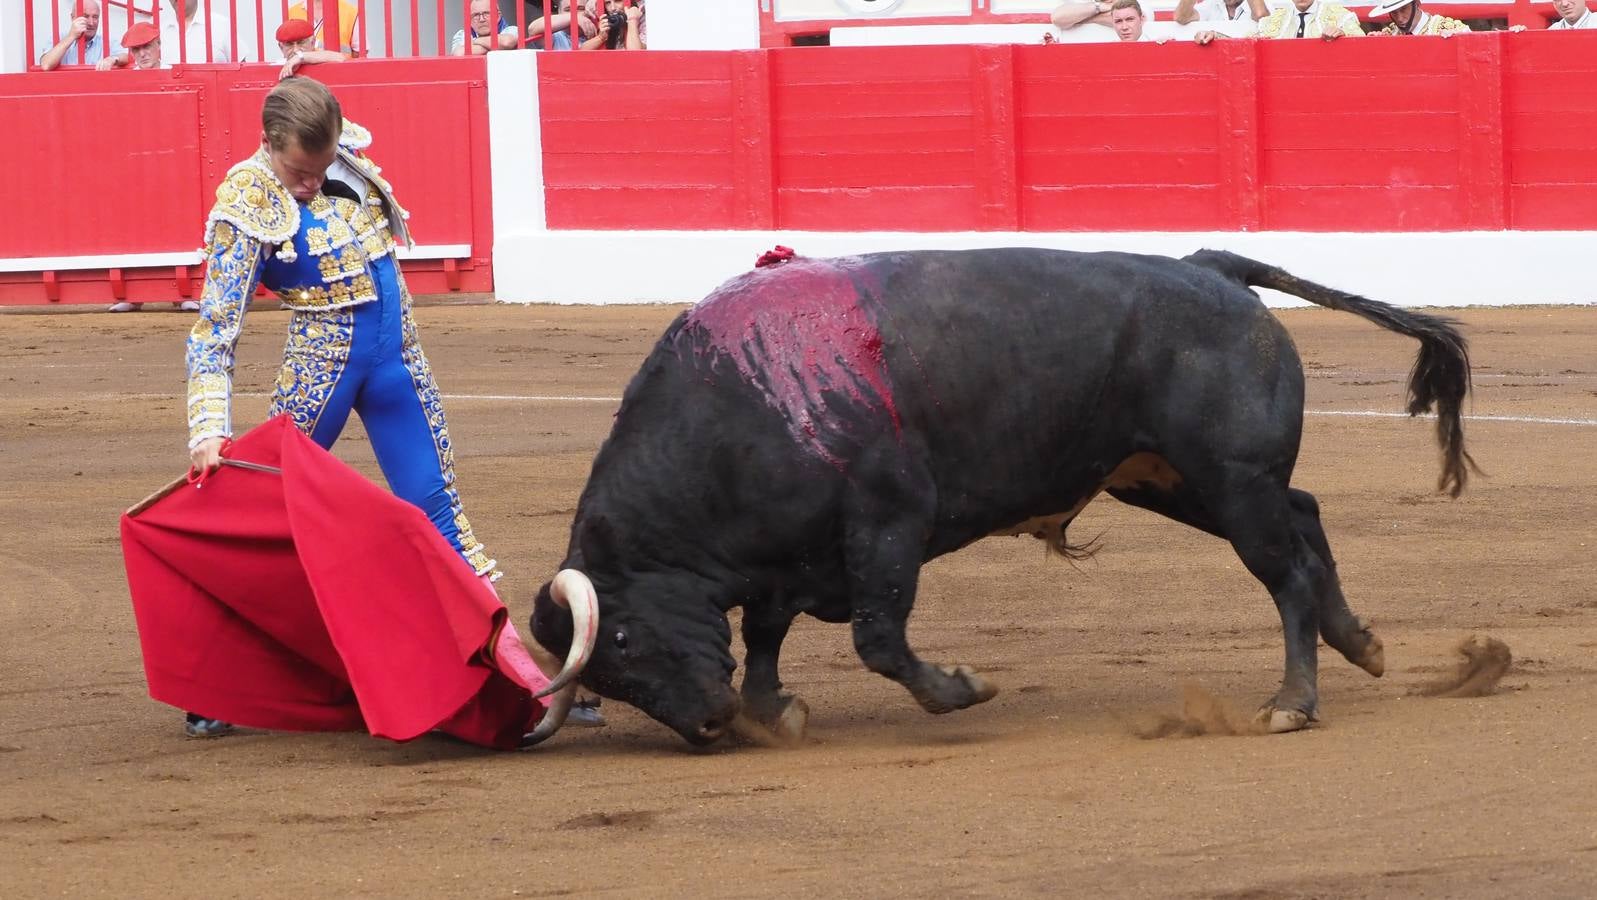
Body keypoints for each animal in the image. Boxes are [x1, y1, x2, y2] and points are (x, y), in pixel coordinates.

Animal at [530, 245, 1475, 746]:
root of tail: (1206, 265)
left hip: (1229, 478)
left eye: (623, 637)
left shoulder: (887, 522)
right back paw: (1362, 644)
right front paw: (775, 711)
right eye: (607, 676)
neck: (737, 406)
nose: (707, 726)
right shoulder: (783, 559)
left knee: (1282, 575)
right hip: (1172, 480)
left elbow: (878, 637)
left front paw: (960, 691)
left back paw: (1291, 702)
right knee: (1305, 517)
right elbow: (765, 632)